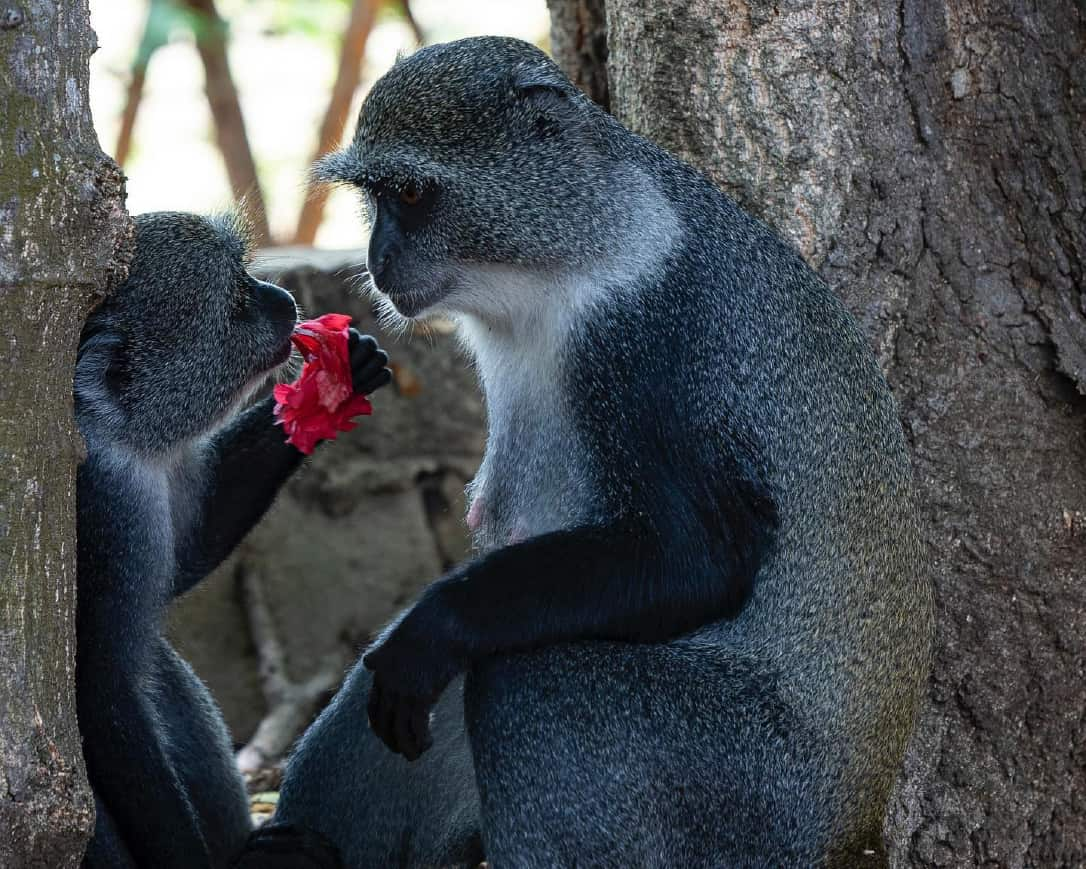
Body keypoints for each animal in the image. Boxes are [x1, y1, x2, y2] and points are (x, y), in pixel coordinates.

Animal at [75, 211, 390, 868]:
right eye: (237, 303)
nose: (283, 298)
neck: (113, 434)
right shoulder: (104, 511)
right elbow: (103, 691)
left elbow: (186, 559)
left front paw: (338, 383)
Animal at [235, 35, 933, 868]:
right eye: (378, 198)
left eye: (410, 192)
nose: (377, 258)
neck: (567, 258)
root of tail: (848, 828)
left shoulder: (646, 338)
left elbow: (695, 555)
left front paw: (435, 625)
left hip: (744, 790)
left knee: (528, 682)